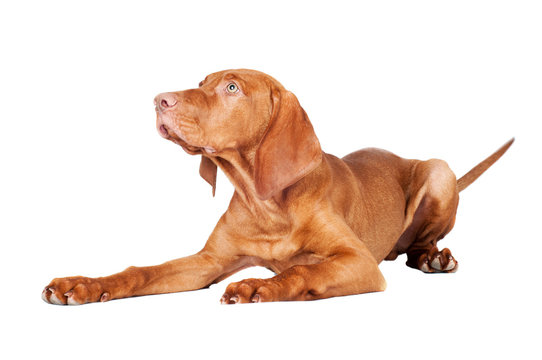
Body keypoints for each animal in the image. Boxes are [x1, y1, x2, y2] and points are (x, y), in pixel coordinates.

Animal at [41, 69, 516, 304]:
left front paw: (259, 286)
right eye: (201, 83)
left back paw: (434, 258)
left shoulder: (359, 261)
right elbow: (141, 271)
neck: (267, 204)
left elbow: (305, 269)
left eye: (232, 88)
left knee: (420, 241)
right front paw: (83, 284)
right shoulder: (208, 262)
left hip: (438, 172)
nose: (160, 100)